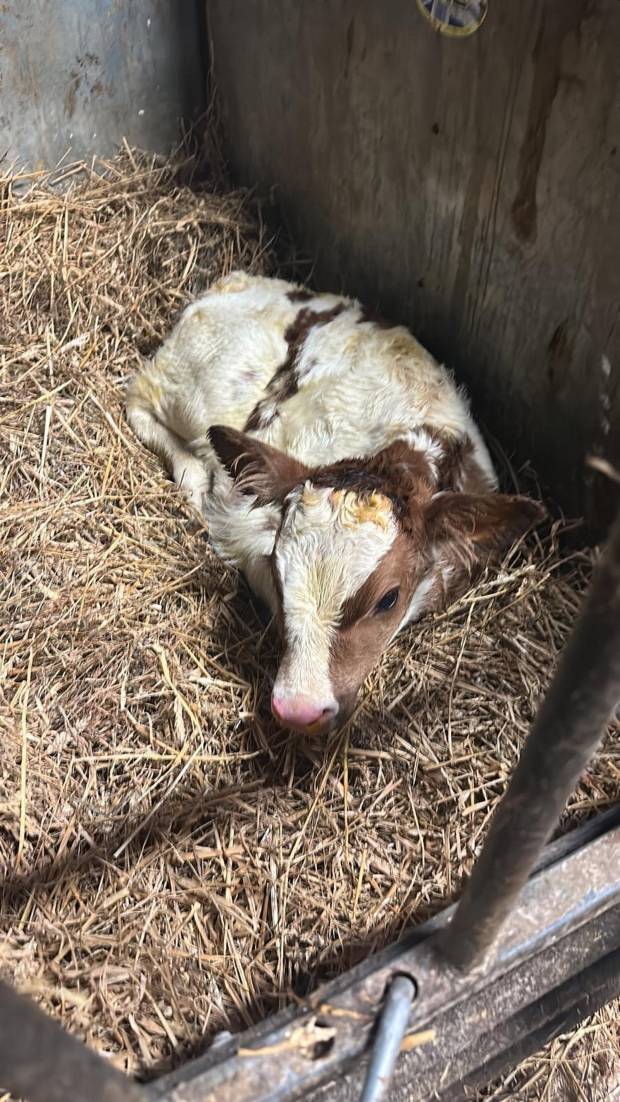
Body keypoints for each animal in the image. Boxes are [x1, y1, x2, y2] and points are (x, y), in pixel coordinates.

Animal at [126, 268, 544, 731]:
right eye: (278, 575)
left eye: (388, 599)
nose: (299, 709)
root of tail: (233, 282)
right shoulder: (246, 522)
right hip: (195, 391)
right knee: (138, 400)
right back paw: (191, 475)